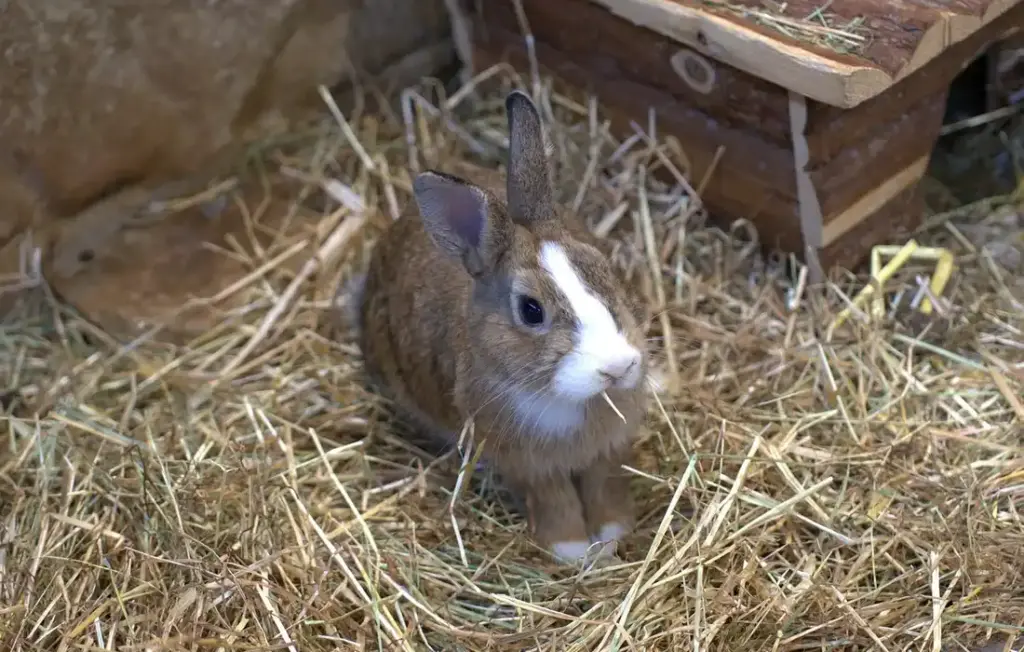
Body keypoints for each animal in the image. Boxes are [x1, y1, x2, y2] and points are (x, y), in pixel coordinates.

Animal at [357, 90, 650, 565]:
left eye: (604, 267)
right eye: (530, 310)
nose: (618, 367)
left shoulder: (607, 452)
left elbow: (604, 490)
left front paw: (609, 538)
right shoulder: (527, 466)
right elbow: (555, 502)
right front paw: (573, 551)